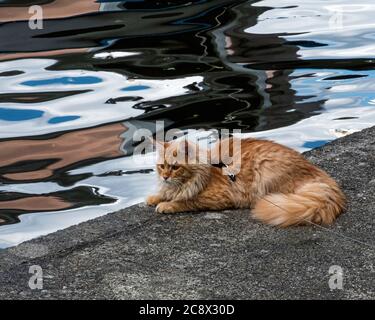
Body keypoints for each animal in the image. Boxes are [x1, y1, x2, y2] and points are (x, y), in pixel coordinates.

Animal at [147, 138, 346, 228]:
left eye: (175, 167)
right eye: (161, 166)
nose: (165, 177)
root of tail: (321, 175)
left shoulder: (220, 196)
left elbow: (187, 200)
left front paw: (166, 205)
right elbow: (165, 194)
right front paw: (154, 198)